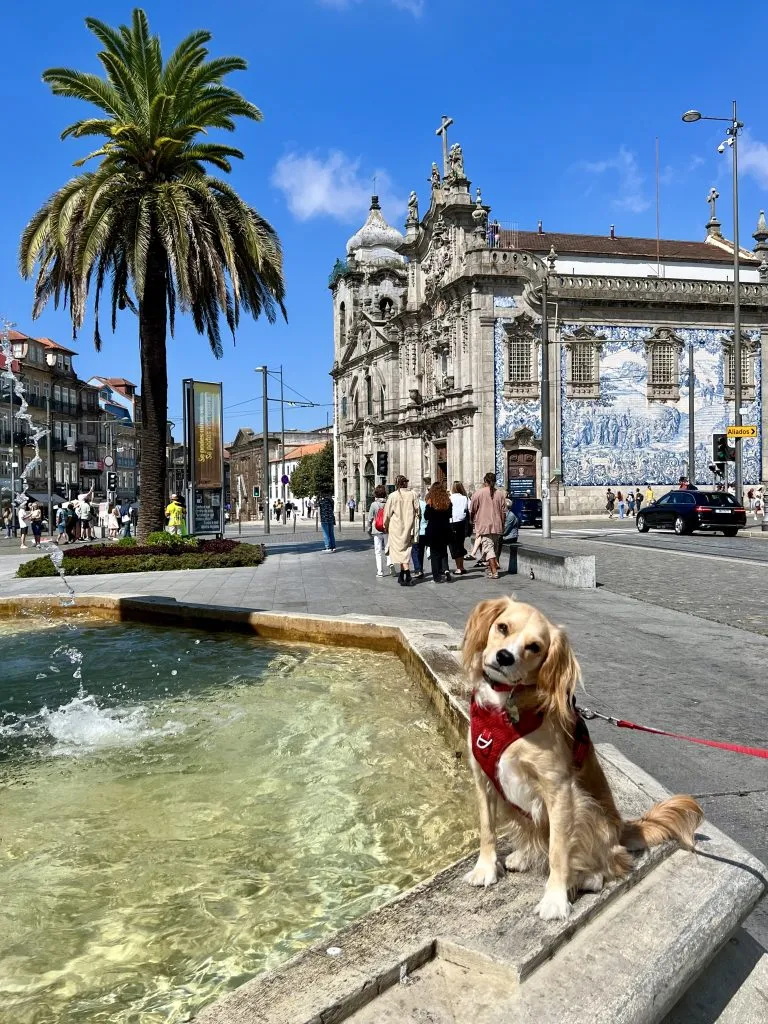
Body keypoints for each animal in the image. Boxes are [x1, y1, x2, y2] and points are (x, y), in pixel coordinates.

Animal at [462, 593, 704, 921]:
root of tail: (621, 828)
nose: (504, 657)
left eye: (534, 646)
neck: (505, 709)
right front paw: (485, 868)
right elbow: (487, 829)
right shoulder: (483, 778)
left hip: (587, 810)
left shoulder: (560, 790)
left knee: (611, 863)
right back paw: (524, 856)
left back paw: (583, 878)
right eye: (502, 627)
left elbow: (558, 851)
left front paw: (555, 898)